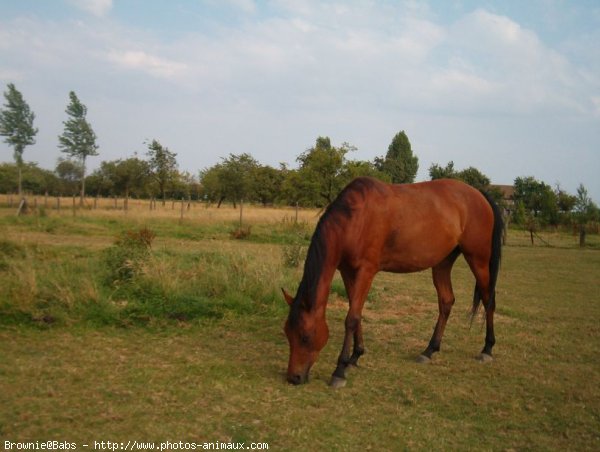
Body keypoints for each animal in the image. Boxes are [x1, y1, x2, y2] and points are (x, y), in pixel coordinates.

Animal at [282, 175, 502, 386]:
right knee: (446, 301)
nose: (294, 378)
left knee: (488, 299)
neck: (356, 218)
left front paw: (340, 370)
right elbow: (356, 311)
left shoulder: (366, 271)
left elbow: (351, 318)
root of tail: (479, 195)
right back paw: (429, 351)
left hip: (478, 260)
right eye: (287, 333)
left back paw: (487, 349)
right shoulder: (347, 271)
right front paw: (355, 356)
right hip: (442, 263)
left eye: (305, 336)